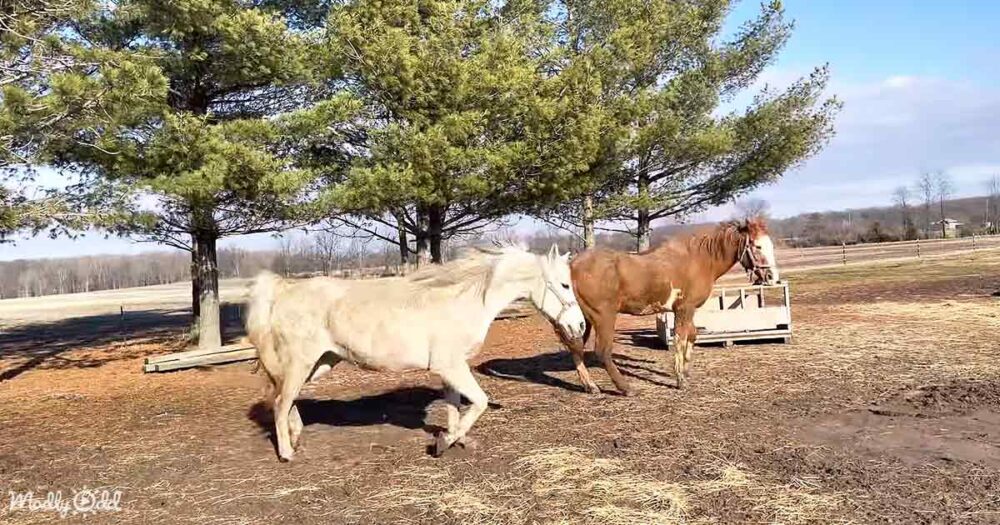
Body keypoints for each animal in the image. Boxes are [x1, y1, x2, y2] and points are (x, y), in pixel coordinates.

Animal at [245, 243, 586, 461]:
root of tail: (284, 290)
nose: (580, 325)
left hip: (321, 362)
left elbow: (454, 406)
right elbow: (478, 402)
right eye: (564, 285)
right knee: (280, 402)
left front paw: (456, 441)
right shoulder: (450, 366)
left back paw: (296, 436)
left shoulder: (451, 370)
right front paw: (444, 442)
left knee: (285, 398)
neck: (465, 300)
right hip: (301, 362)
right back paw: (287, 453)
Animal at [567, 217, 779, 395]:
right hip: (603, 317)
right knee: (602, 351)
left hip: (584, 319)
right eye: (758, 246)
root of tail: (572, 266)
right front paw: (680, 380)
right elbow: (680, 340)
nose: (772, 277)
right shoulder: (684, 309)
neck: (699, 260)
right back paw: (625, 388)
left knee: (575, 347)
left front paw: (686, 371)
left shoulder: (688, 310)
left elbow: (692, 336)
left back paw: (590, 386)